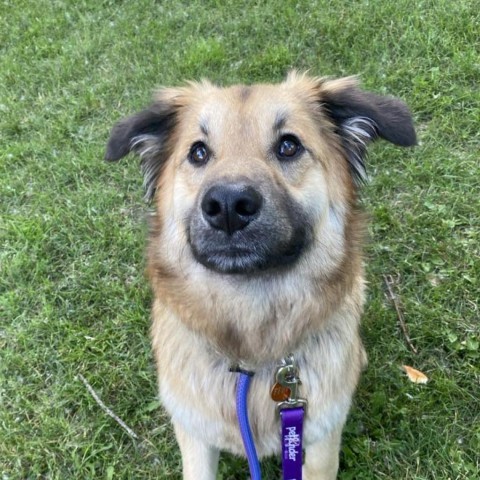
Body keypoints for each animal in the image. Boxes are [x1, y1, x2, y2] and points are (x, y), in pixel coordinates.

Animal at [105, 72, 416, 480]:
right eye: (198, 153)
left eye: (288, 146)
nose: (227, 206)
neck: (249, 358)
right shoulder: (194, 434)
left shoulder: (318, 441)